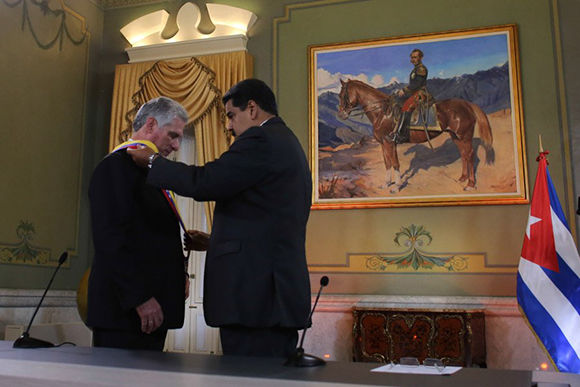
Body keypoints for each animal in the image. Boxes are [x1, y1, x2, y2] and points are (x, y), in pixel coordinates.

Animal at [336, 79, 494, 193]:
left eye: (343, 95)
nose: (341, 115)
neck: (381, 112)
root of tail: (467, 104)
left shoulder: (389, 142)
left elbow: (395, 163)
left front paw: (396, 186)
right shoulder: (384, 143)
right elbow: (387, 163)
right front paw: (386, 184)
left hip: (464, 136)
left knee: (470, 155)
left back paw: (470, 184)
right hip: (456, 136)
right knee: (464, 154)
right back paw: (463, 178)